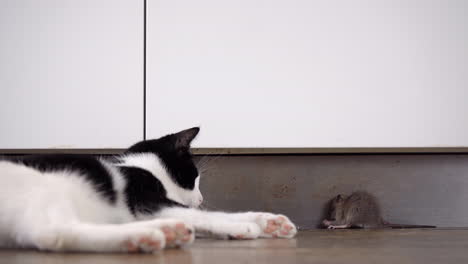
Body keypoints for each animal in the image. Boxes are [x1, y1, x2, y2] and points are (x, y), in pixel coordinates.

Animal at [0, 128, 298, 254]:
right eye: (195, 178)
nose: (201, 197)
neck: (141, 167)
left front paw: (270, 222)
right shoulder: (145, 199)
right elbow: (206, 216)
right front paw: (245, 226)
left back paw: (167, 231)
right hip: (44, 189)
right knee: (52, 234)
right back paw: (146, 235)